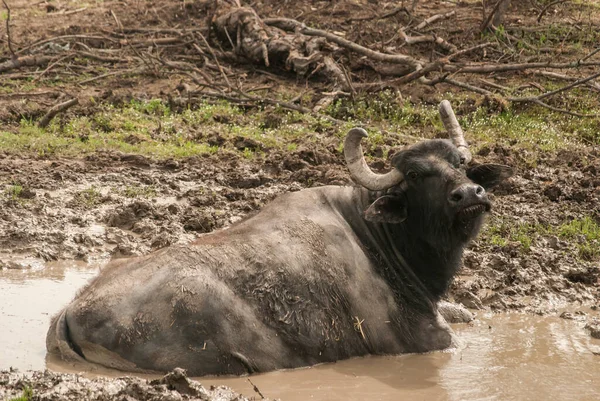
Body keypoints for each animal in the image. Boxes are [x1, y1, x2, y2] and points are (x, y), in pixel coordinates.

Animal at [49, 101, 512, 376]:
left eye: (459, 164)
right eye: (415, 175)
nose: (470, 194)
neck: (379, 240)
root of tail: (72, 311)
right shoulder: (422, 341)